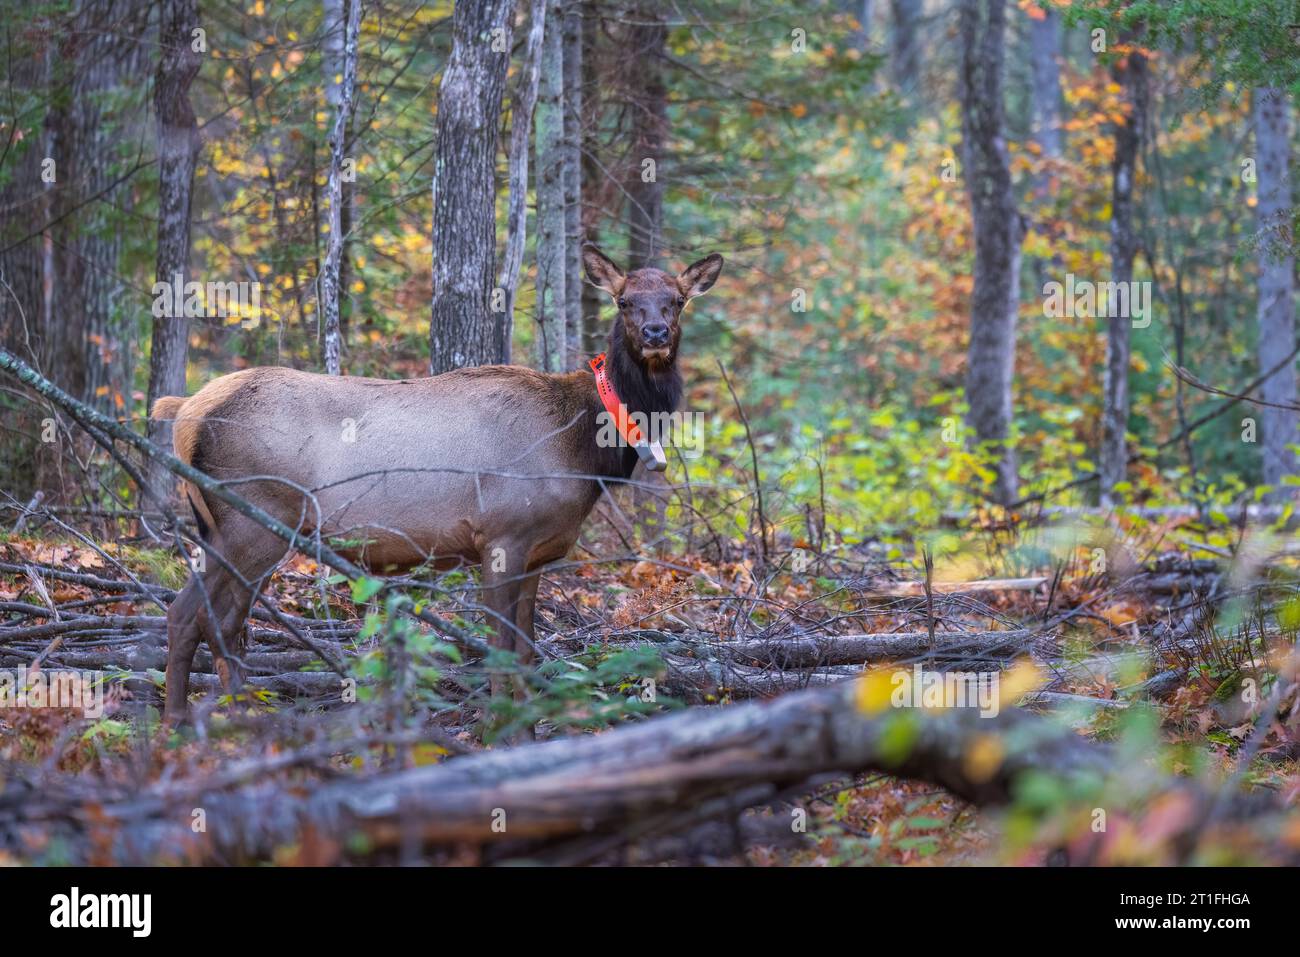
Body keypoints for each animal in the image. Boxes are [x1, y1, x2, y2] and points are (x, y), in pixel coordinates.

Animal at [152, 243, 728, 722]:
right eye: (625, 301)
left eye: (676, 301)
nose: (655, 335)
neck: (584, 447)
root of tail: (184, 412)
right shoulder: (502, 535)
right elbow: (499, 650)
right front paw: (501, 729)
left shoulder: (540, 551)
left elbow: (524, 650)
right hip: (251, 521)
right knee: (190, 615)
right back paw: (180, 723)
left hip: (229, 528)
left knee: (221, 621)